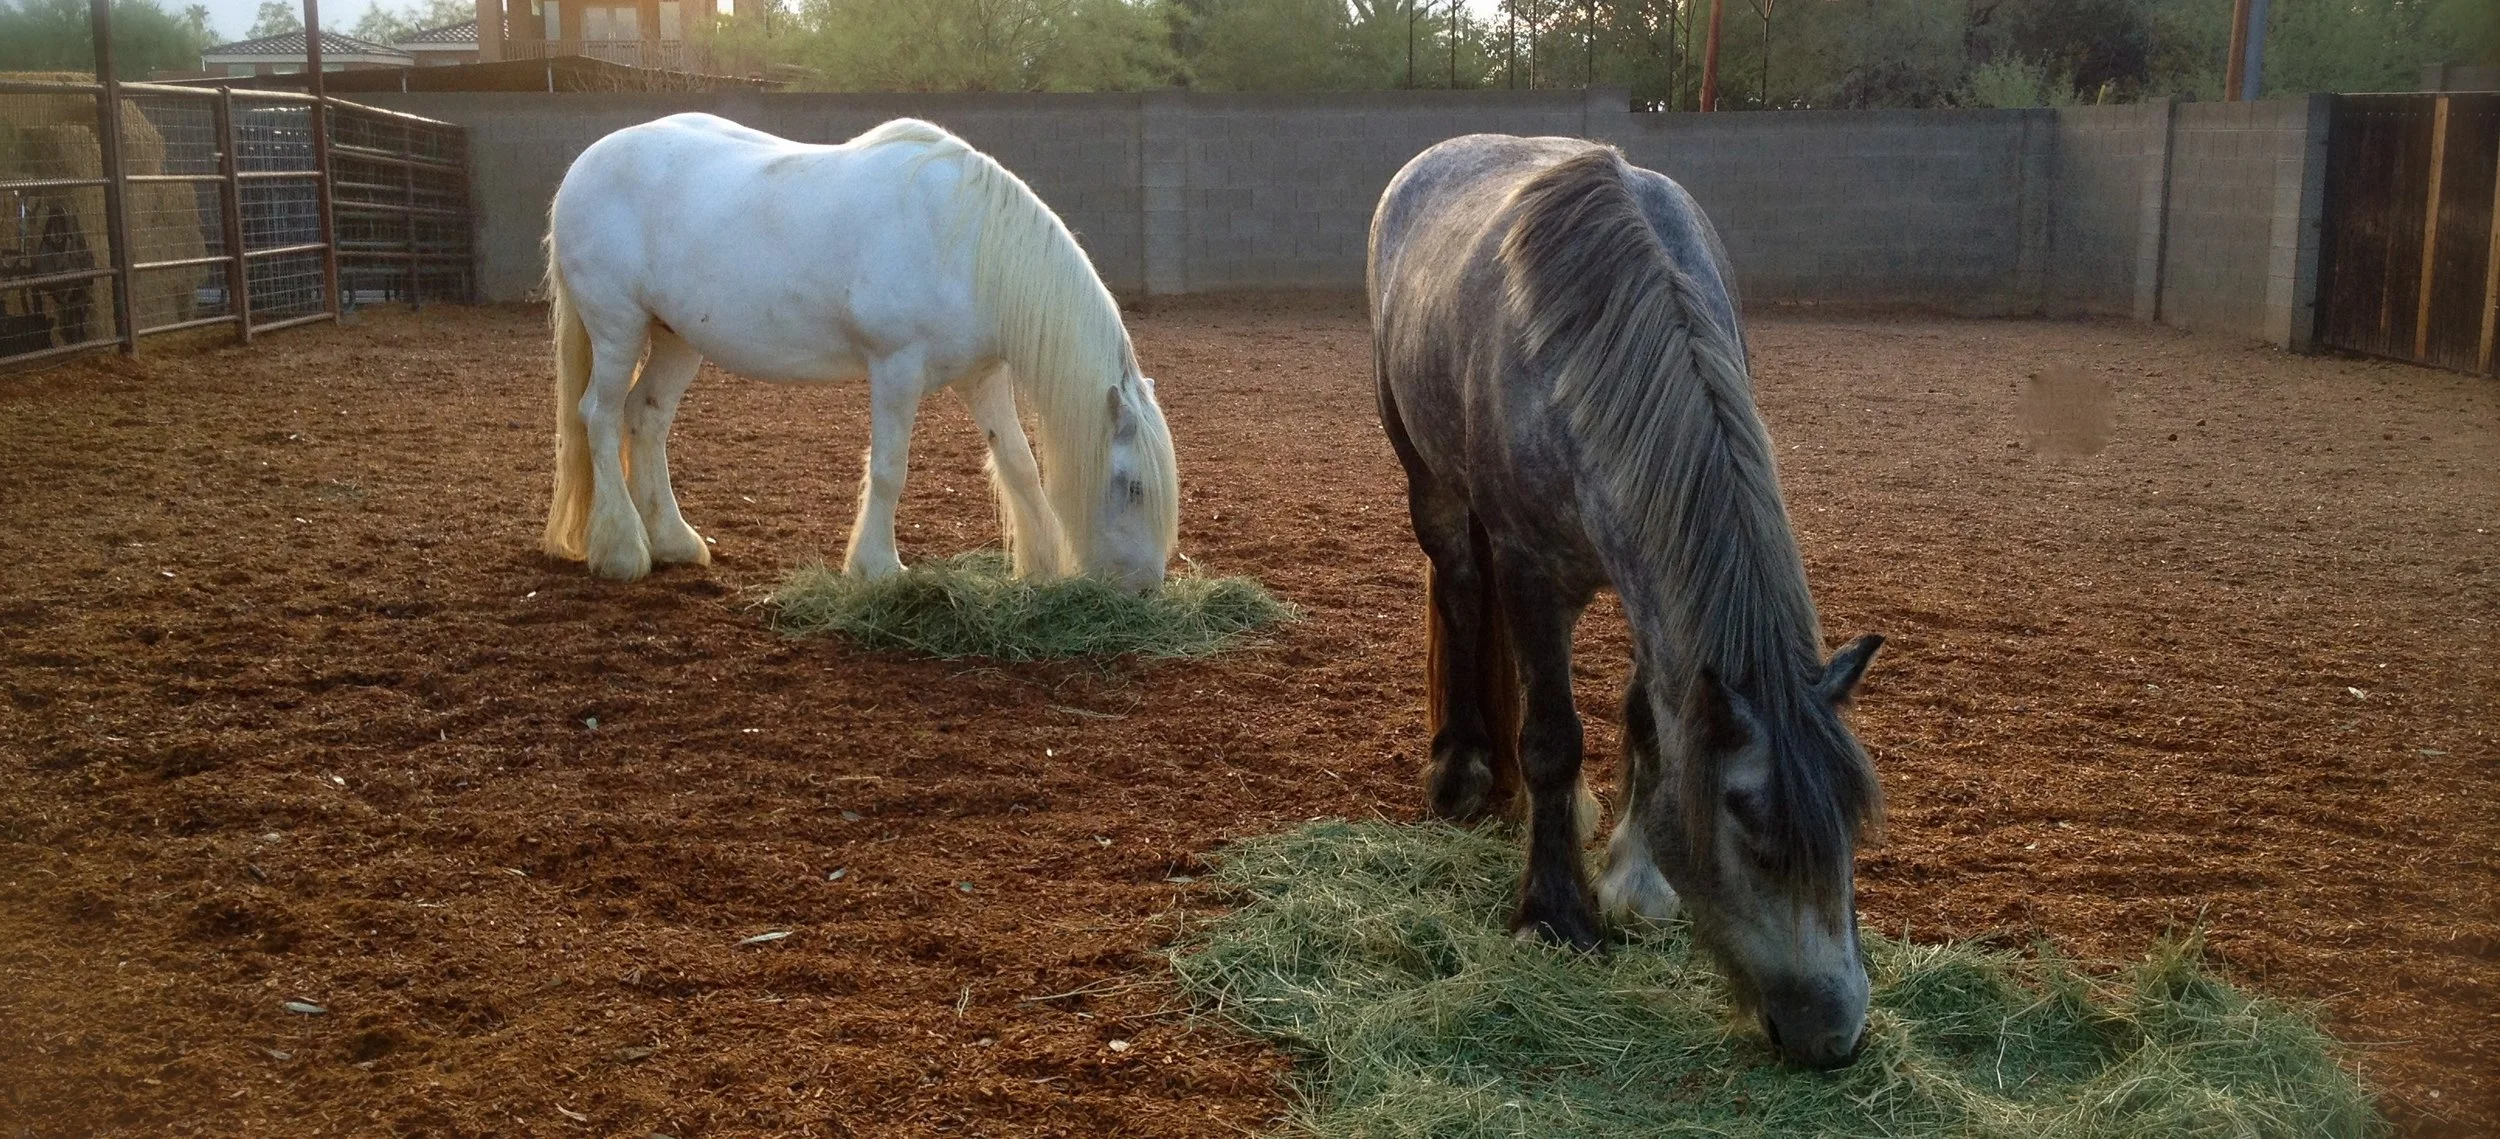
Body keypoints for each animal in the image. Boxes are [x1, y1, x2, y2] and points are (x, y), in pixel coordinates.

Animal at [542, 114, 1180, 589]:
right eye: (1133, 486)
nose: (1144, 587)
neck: (966, 243)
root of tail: (584, 166)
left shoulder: (982, 376)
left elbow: (1019, 465)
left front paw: (1042, 569)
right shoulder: (896, 369)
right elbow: (890, 468)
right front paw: (878, 568)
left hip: (676, 339)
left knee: (644, 418)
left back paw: (673, 542)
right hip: (618, 328)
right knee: (599, 417)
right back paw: (623, 551)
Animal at [1369, 134, 1886, 1070]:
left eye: (1852, 824)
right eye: (1751, 825)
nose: (1834, 1033)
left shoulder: (1655, 591)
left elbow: (1650, 718)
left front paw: (1635, 881)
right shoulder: (1531, 571)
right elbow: (1552, 739)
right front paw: (1556, 913)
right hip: (1430, 482)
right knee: (1460, 594)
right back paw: (1461, 772)